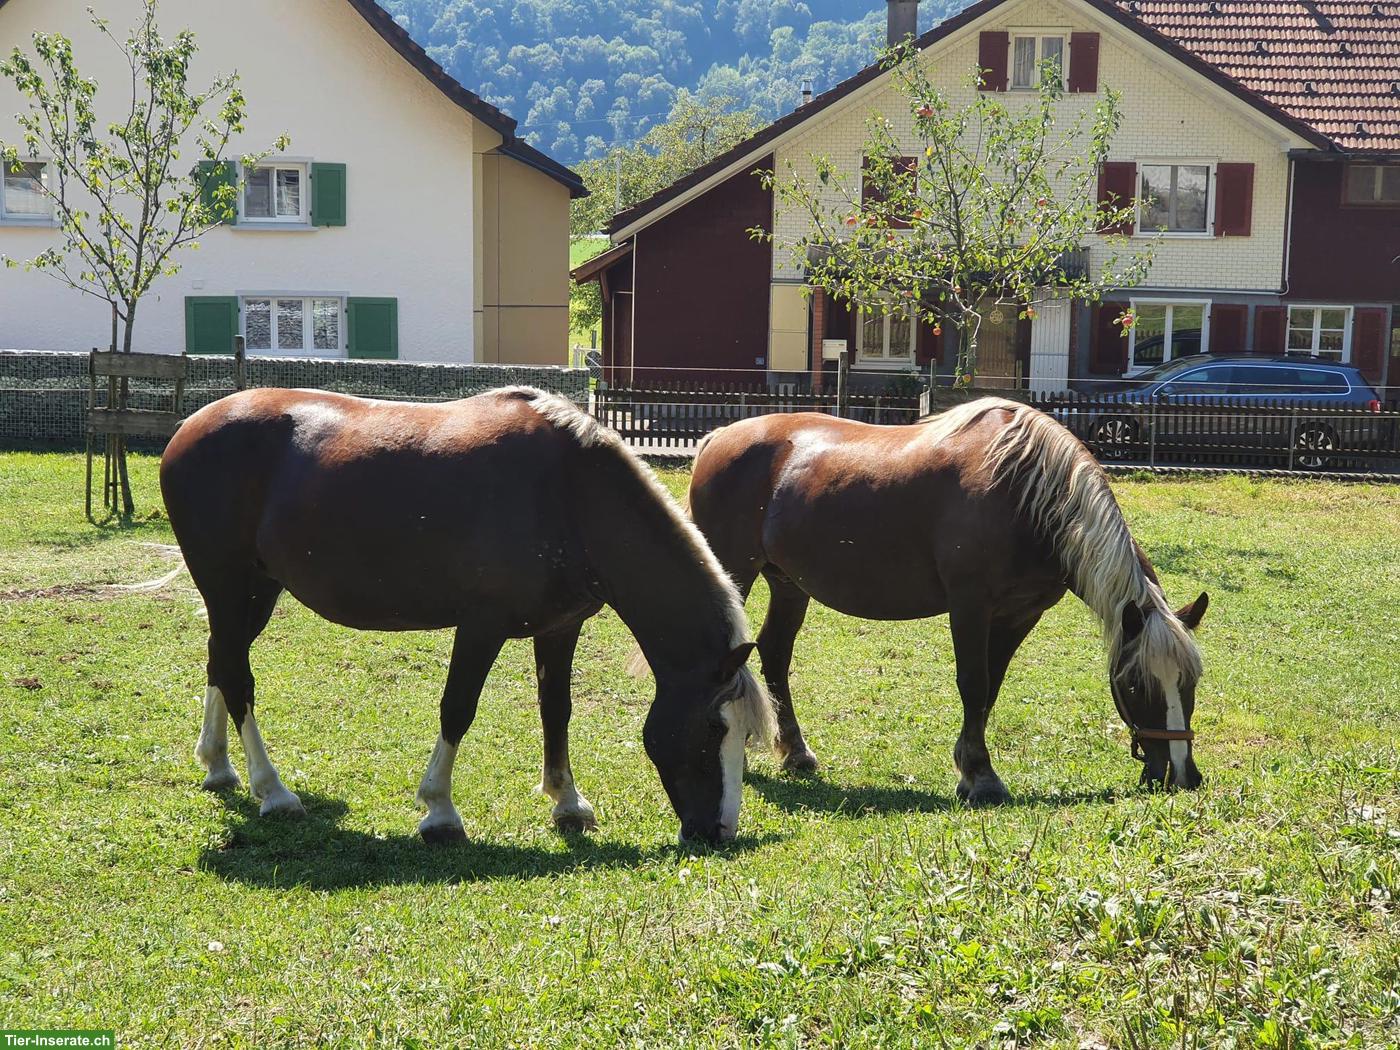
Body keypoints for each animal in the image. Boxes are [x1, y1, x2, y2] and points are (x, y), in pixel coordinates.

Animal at [159, 386, 774, 845]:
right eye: (715, 727)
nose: (718, 832)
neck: (571, 493)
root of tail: (188, 427)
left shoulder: (561, 627)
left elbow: (557, 710)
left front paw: (567, 802)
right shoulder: (481, 627)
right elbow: (457, 709)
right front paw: (439, 811)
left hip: (254, 593)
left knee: (221, 663)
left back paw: (219, 766)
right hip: (227, 586)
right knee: (237, 678)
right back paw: (274, 791)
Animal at [686, 397, 1209, 803]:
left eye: (1189, 683)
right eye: (1137, 684)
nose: (1181, 774)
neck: (1025, 492)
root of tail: (717, 438)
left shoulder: (1022, 613)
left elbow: (991, 687)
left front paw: (969, 768)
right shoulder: (970, 606)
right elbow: (973, 684)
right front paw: (982, 777)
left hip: (789, 584)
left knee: (775, 654)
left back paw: (796, 752)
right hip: (736, 571)